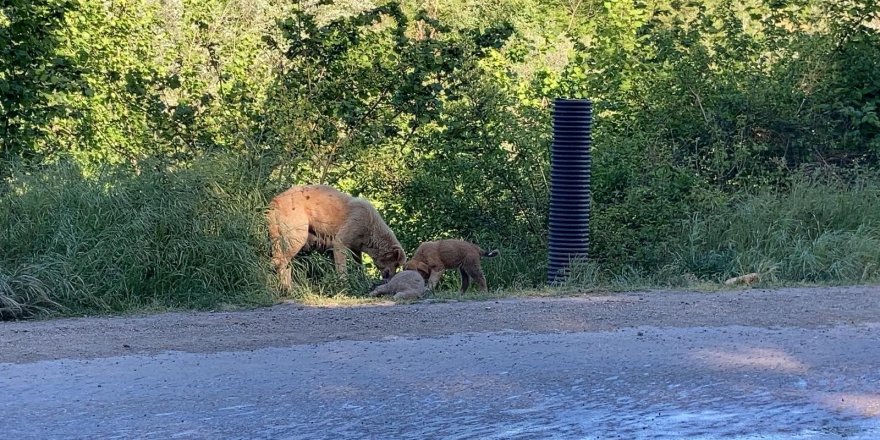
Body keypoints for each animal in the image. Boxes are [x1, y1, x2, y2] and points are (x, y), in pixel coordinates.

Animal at [266, 184, 408, 290]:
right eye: (396, 264)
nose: (390, 279)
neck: (371, 230)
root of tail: (273, 202)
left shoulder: (356, 248)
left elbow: (358, 265)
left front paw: (361, 279)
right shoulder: (341, 240)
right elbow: (342, 267)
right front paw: (344, 284)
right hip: (296, 236)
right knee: (280, 262)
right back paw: (286, 288)